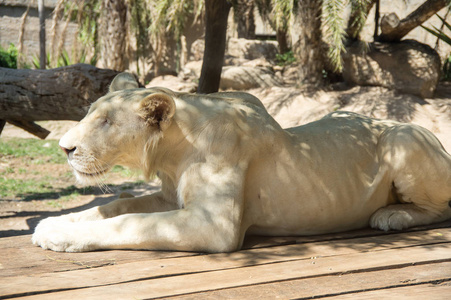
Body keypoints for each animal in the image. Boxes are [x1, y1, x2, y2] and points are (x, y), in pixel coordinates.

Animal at [32, 73, 451, 253]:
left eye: (106, 122)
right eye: (90, 113)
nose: (64, 148)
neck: (173, 152)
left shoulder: (213, 226)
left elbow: (128, 223)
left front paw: (59, 236)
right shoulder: (169, 197)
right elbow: (113, 207)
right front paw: (53, 222)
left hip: (402, 138)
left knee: (441, 208)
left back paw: (391, 215)